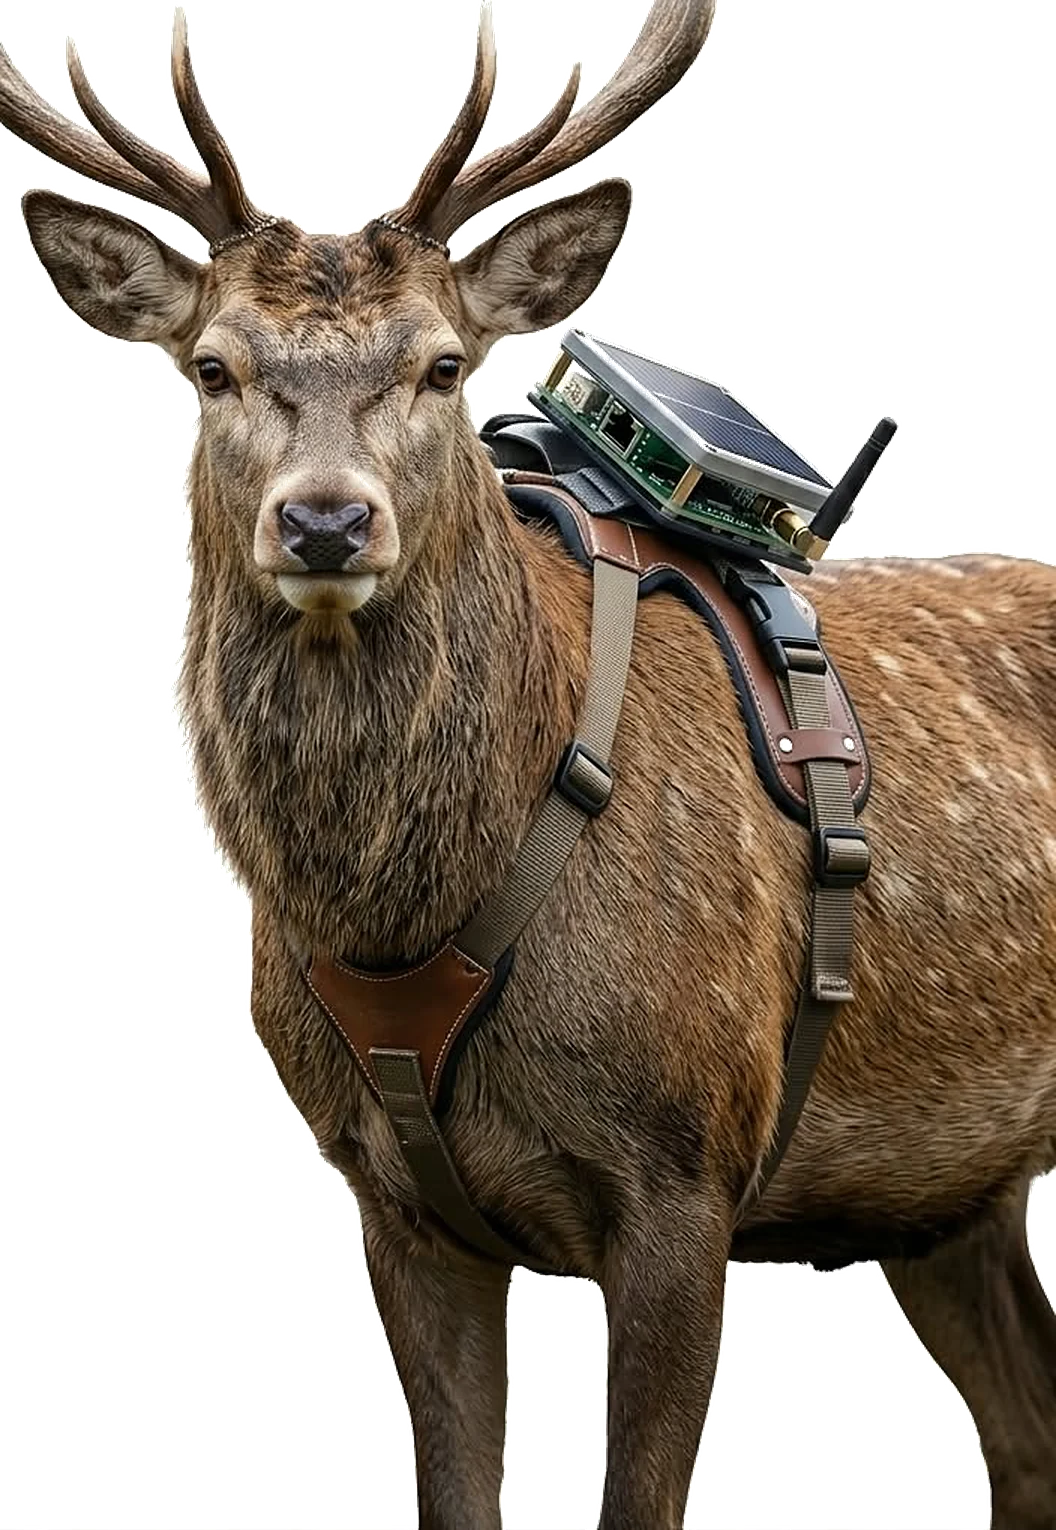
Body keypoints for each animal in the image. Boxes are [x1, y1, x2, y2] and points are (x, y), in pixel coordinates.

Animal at [2, 3, 1053, 1526]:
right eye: (215, 366)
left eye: (445, 364)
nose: (326, 521)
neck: (399, 915)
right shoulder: (394, 1201)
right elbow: (454, 1492)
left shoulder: (686, 1167)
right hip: (948, 1195)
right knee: (1027, 1433)